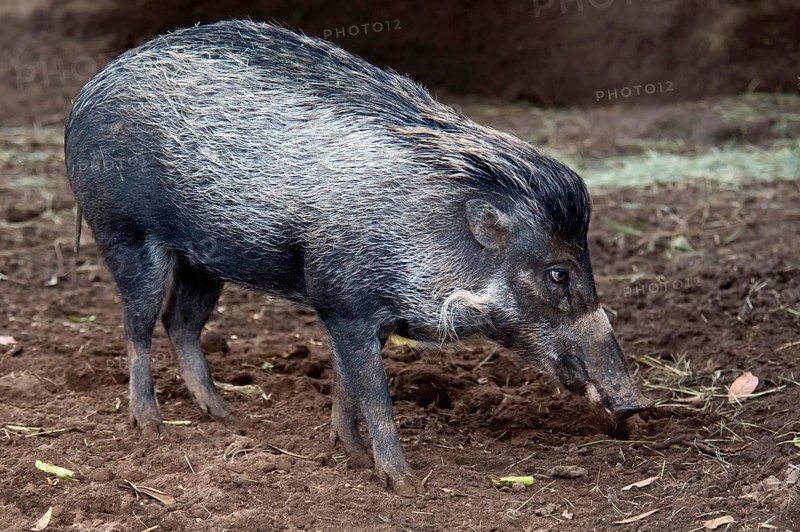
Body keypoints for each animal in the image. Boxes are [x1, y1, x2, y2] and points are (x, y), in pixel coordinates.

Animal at [65, 20, 652, 496]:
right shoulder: (345, 304)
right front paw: (404, 486)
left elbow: (348, 385)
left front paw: (349, 457)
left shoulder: (357, 313)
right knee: (137, 326)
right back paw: (151, 426)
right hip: (125, 236)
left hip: (204, 262)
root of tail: (90, 88)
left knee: (180, 322)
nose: (635, 404)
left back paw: (229, 418)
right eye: (558, 273)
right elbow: (376, 396)